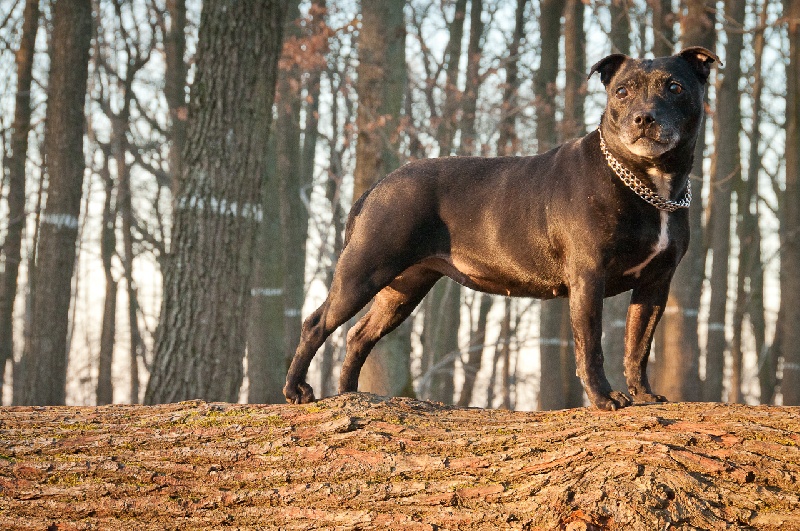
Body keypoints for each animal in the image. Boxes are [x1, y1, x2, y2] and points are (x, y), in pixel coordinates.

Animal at [282, 46, 720, 412]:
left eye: (675, 87)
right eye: (623, 91)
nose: (644, 117)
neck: (648, 183)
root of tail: (380, 185)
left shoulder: (655, 283)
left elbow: (638, 344)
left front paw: (643, 395)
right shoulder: (588, 278)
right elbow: (591, 345)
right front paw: (604, 399)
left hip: (403, 289)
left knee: (359, 335)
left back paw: (349, 395)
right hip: (364, 270)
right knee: (317, 322)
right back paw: (296, 391)